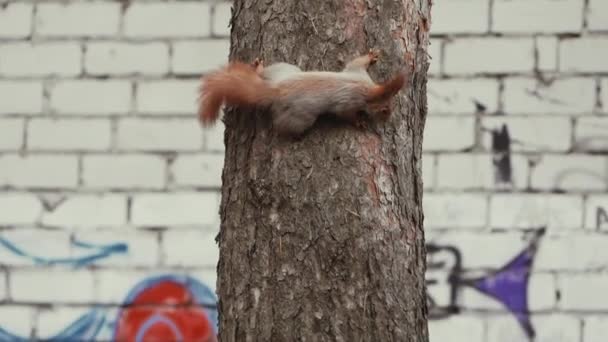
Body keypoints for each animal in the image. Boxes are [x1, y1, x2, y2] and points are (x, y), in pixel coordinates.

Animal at [198, 49, 408, 136]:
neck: (367, 89)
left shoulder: (357, 72)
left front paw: (371, 56)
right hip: (301, 118)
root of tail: (276, 90)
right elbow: (345, 114)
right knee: (283, 125)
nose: (388, 119)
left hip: (283, 69)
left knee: (264, 73)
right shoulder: (348, 101)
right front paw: (359, 122)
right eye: (385, 110)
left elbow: (357, 61)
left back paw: (258, 67)